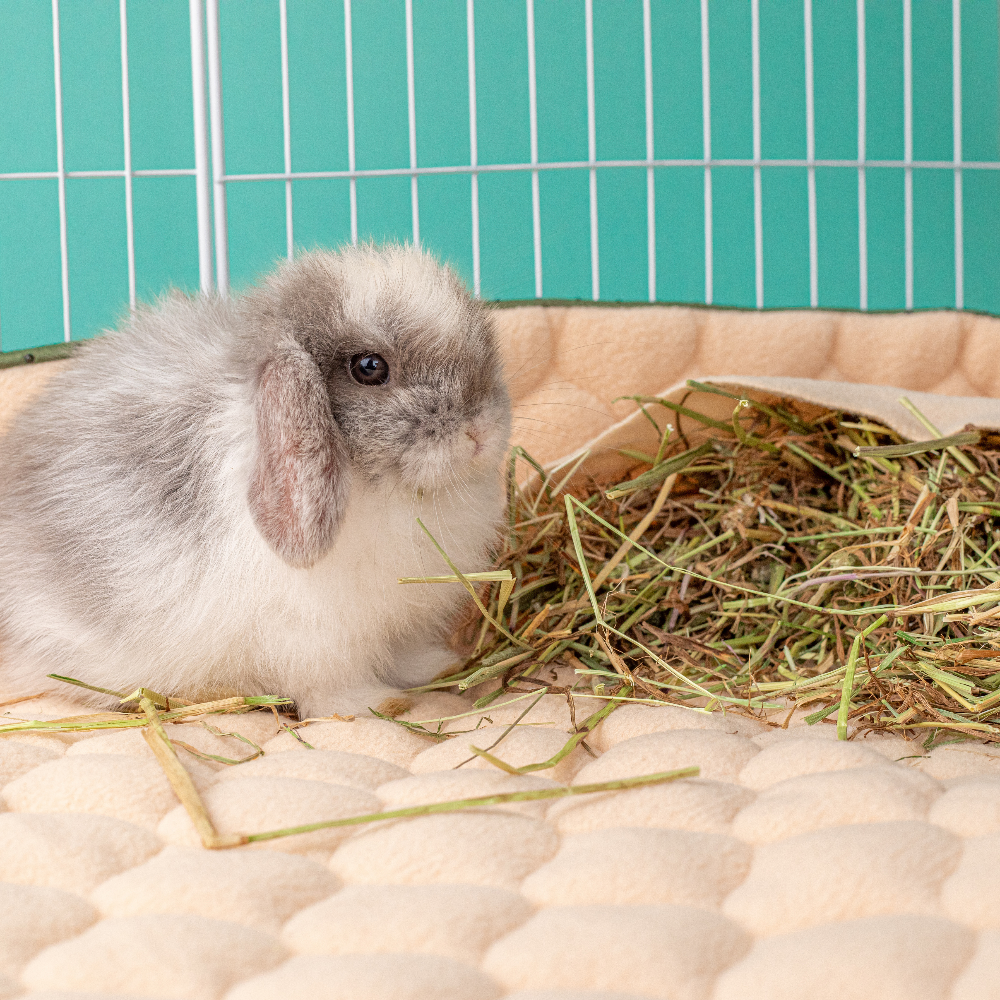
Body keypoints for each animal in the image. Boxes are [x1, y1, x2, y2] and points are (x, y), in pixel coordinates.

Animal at [0, 243, 512, 719]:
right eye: (369, 367)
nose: (480, 430)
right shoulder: (310, 636)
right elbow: (331, 684)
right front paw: (376, 705)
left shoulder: (402, 621)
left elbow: (406, 654)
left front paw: (439, 665)